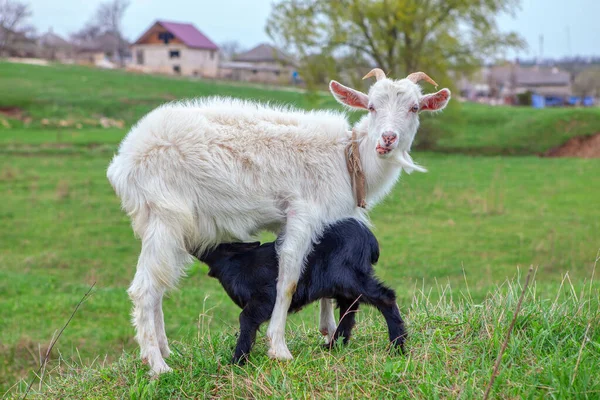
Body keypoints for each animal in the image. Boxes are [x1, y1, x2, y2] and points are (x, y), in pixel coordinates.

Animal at [106, 69, 450, 376]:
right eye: (372, 106)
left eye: (415, 107)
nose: (388, 139)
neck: (348, 158)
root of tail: (123, 162)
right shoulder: (302, 213)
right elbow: (288, 279)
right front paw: (279, 347)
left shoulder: (317, 224)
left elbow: (322, 280)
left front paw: (327, 331)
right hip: (166, 217)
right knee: (144, 290)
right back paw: (158, 365)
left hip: (169, 226)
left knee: (158, 288)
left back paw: (166, 351)